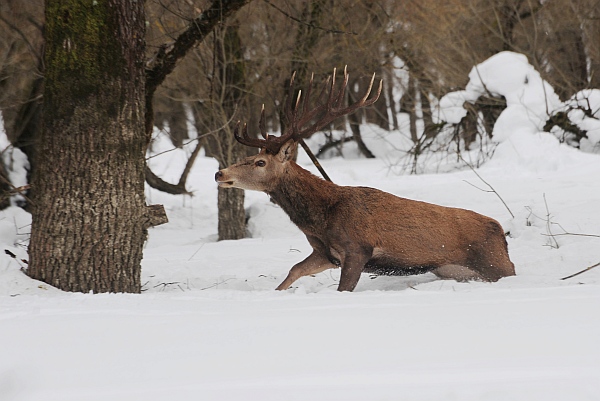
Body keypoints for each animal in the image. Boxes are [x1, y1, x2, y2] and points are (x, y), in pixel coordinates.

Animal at [216, 66, 516, 290]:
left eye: (260, 162)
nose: (220, 173)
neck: (320, 220)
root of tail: (501, 232)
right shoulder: (325, 253)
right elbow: (293, 271)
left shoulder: (357, 248)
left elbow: (342, 288)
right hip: (456, 270)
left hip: (494, 262)